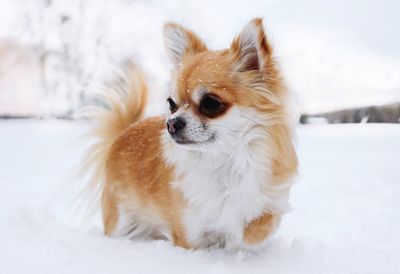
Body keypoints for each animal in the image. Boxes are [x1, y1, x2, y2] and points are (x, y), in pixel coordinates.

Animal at [81, 17, 298, 250]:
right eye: (171, 104)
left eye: (210, 103)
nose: (172, 123)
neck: (223, 160)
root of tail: (124, 132)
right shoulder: (188, 234)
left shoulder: (271, 199)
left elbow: (261, 225)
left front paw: (239, 238)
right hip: (120, 219)